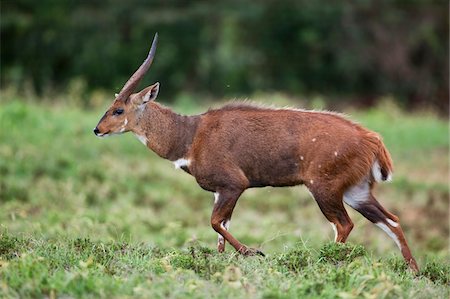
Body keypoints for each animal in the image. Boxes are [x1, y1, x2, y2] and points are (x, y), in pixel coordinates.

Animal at [93, 33, 420, 274]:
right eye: (110, 107)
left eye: (118, 110)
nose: (97, 130)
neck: (191, 136)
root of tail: (371, 139)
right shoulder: (220, 191)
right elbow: (220, 232)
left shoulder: (233, 184)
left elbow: (215, 223)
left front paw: (254, 252)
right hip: (356, 190)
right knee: (391, 220)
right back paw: (414, 272)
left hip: (324, 187)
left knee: (345, 224)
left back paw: (321, 263)